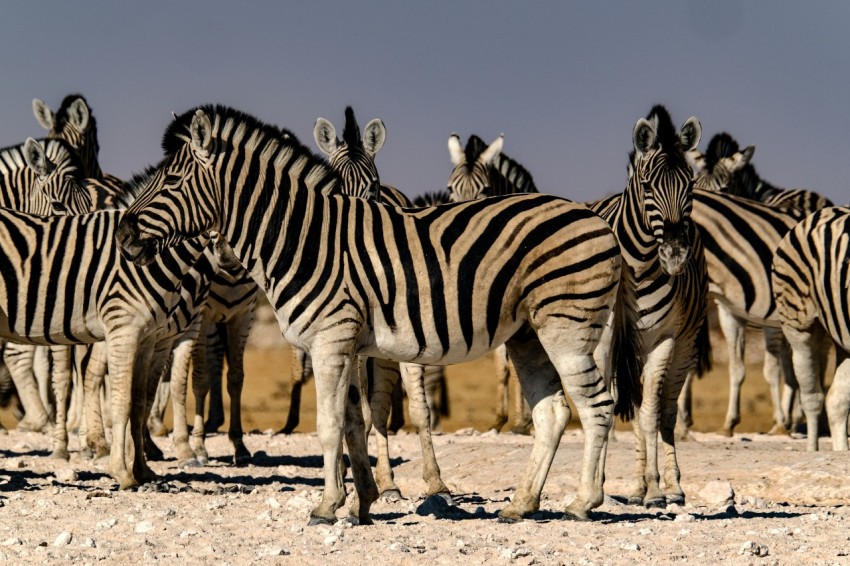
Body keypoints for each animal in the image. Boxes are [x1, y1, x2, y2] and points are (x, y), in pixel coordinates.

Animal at [589, 105, 708, 508]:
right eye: (647, 187)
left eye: (690, 186)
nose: (674, 255)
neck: (639, 267)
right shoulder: (605, 341)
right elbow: (608, 404)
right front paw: (598, 483)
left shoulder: (664, 340)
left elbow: (651, 415)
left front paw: (656, 488)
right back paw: (638, 486)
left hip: (686, 343)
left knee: (663, 409)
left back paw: (668, 486)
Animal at [772, 206, 850, 451]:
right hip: (798, 325)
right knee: (813, 398)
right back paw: (812, 451)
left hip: (843, 336)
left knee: (836, 400)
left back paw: (841, 450)